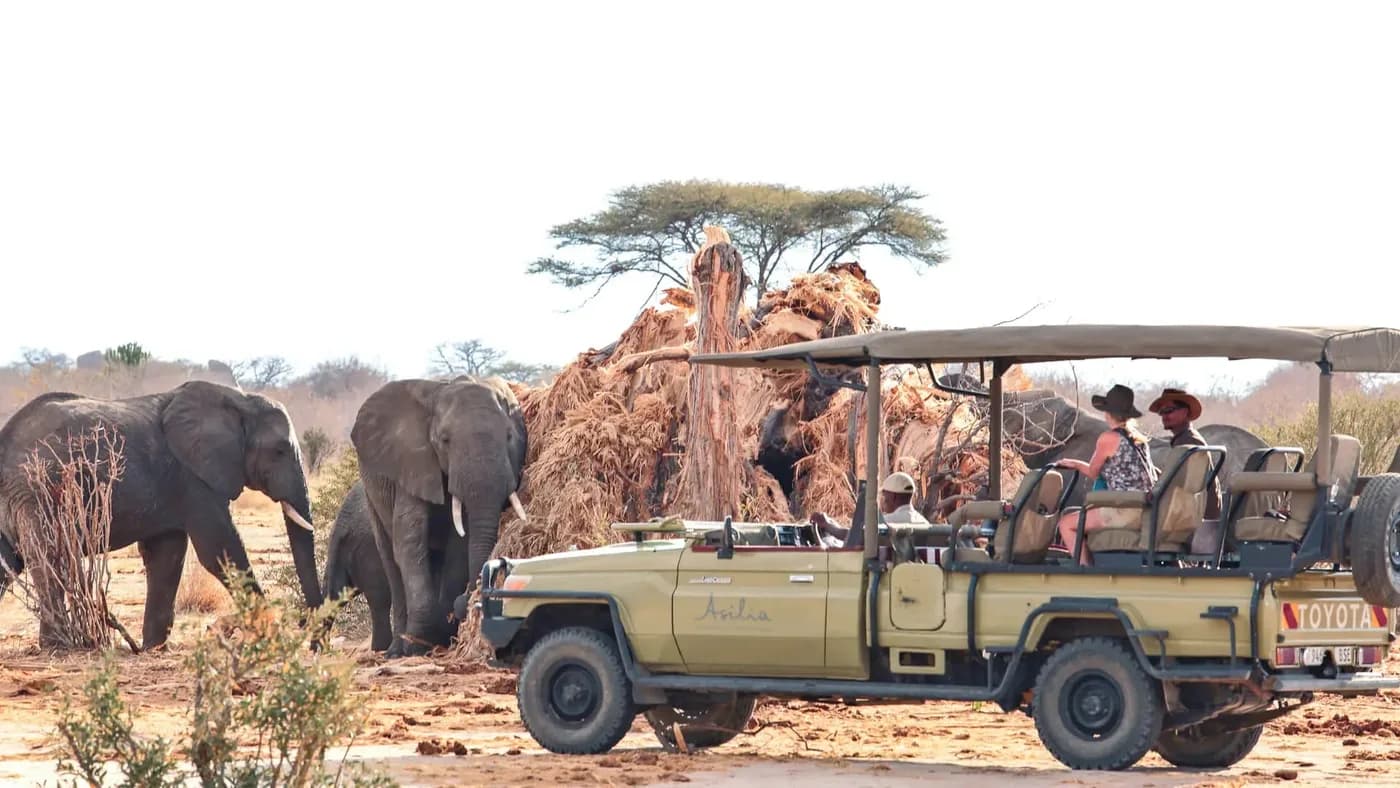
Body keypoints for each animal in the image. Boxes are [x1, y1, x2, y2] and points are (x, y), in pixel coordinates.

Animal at [0, 381, 321, 649]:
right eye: (279, 451)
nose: (313, 642)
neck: (240, 399)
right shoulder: (194, 477)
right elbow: (219, 548)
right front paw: (268, 630)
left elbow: (166, 556)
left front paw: (153, 648)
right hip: (36, 489)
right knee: (47, 556)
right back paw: (59, 645)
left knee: (10, 562)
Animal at [350, 376, 528, 657]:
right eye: (444, 440)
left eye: (510, 436)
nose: (466, 600)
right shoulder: (413, 463)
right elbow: (409, 538)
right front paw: (416, 645)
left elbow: (460, 541)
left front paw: (437, 632)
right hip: (371, 495)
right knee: (390, 558)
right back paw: (396, 650)